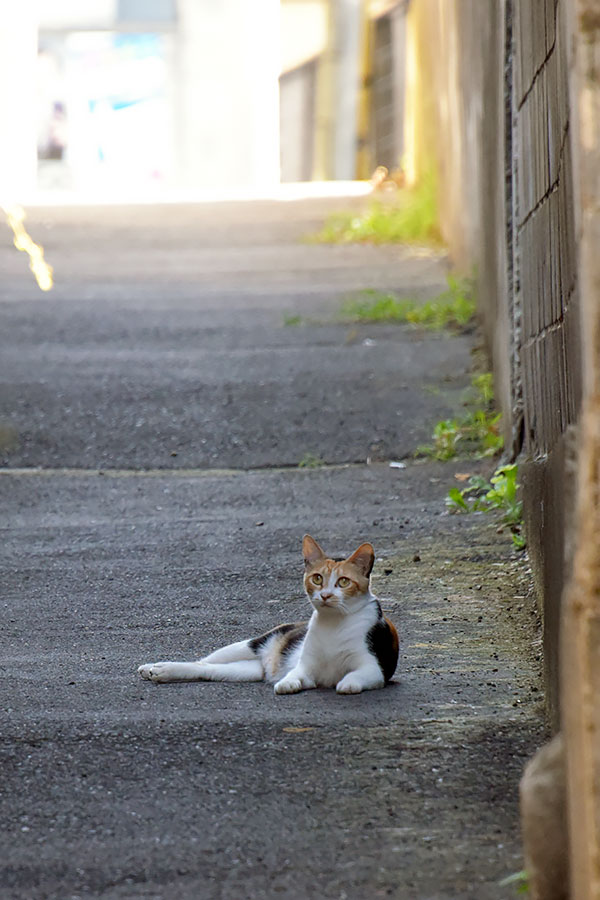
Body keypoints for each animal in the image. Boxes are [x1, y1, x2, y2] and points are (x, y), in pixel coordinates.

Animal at [137, 536, 398, 696]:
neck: (333, 623)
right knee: (202, 661)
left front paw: (347, 683)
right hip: (249, 644)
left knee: (206, 670)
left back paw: (160, 672)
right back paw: (155, 668)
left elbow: (355, 676)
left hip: (243, 670)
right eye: (317, 578)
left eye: (343, 582)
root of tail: (264, 665)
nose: (325, 595)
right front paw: (287, 683)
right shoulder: (306, 666)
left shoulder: (373, 667)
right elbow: (295, 674)